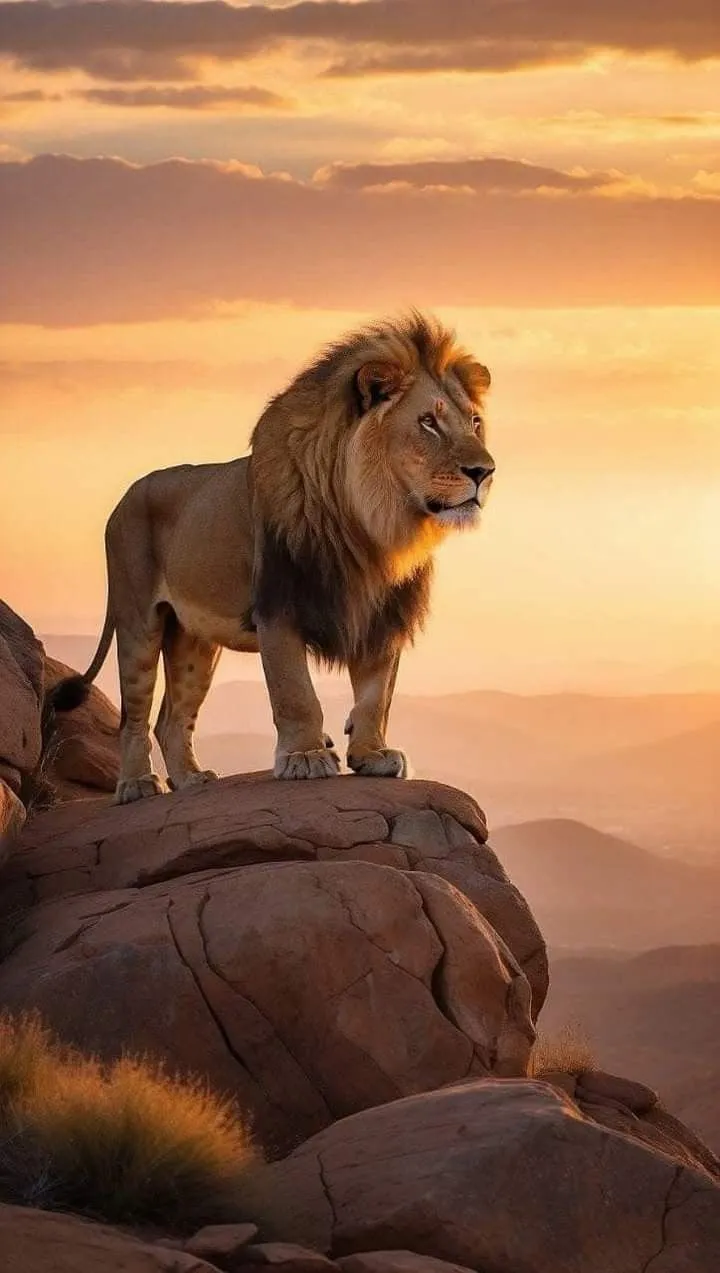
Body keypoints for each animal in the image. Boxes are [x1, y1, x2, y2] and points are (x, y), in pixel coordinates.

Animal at [50, 311, 494, 803]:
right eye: (428, 422)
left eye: (475, 422)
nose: (485, 472)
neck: (374, 526)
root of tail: (123, 499)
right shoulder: (279, 604)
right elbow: (294, 691)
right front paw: (305, 757)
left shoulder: (383, 613)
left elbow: (377, 694)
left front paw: (373, 754)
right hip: (137, 620)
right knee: (134, 715)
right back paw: (136, 785)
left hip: (193, 640)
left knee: (171, 718)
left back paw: (191, 779)